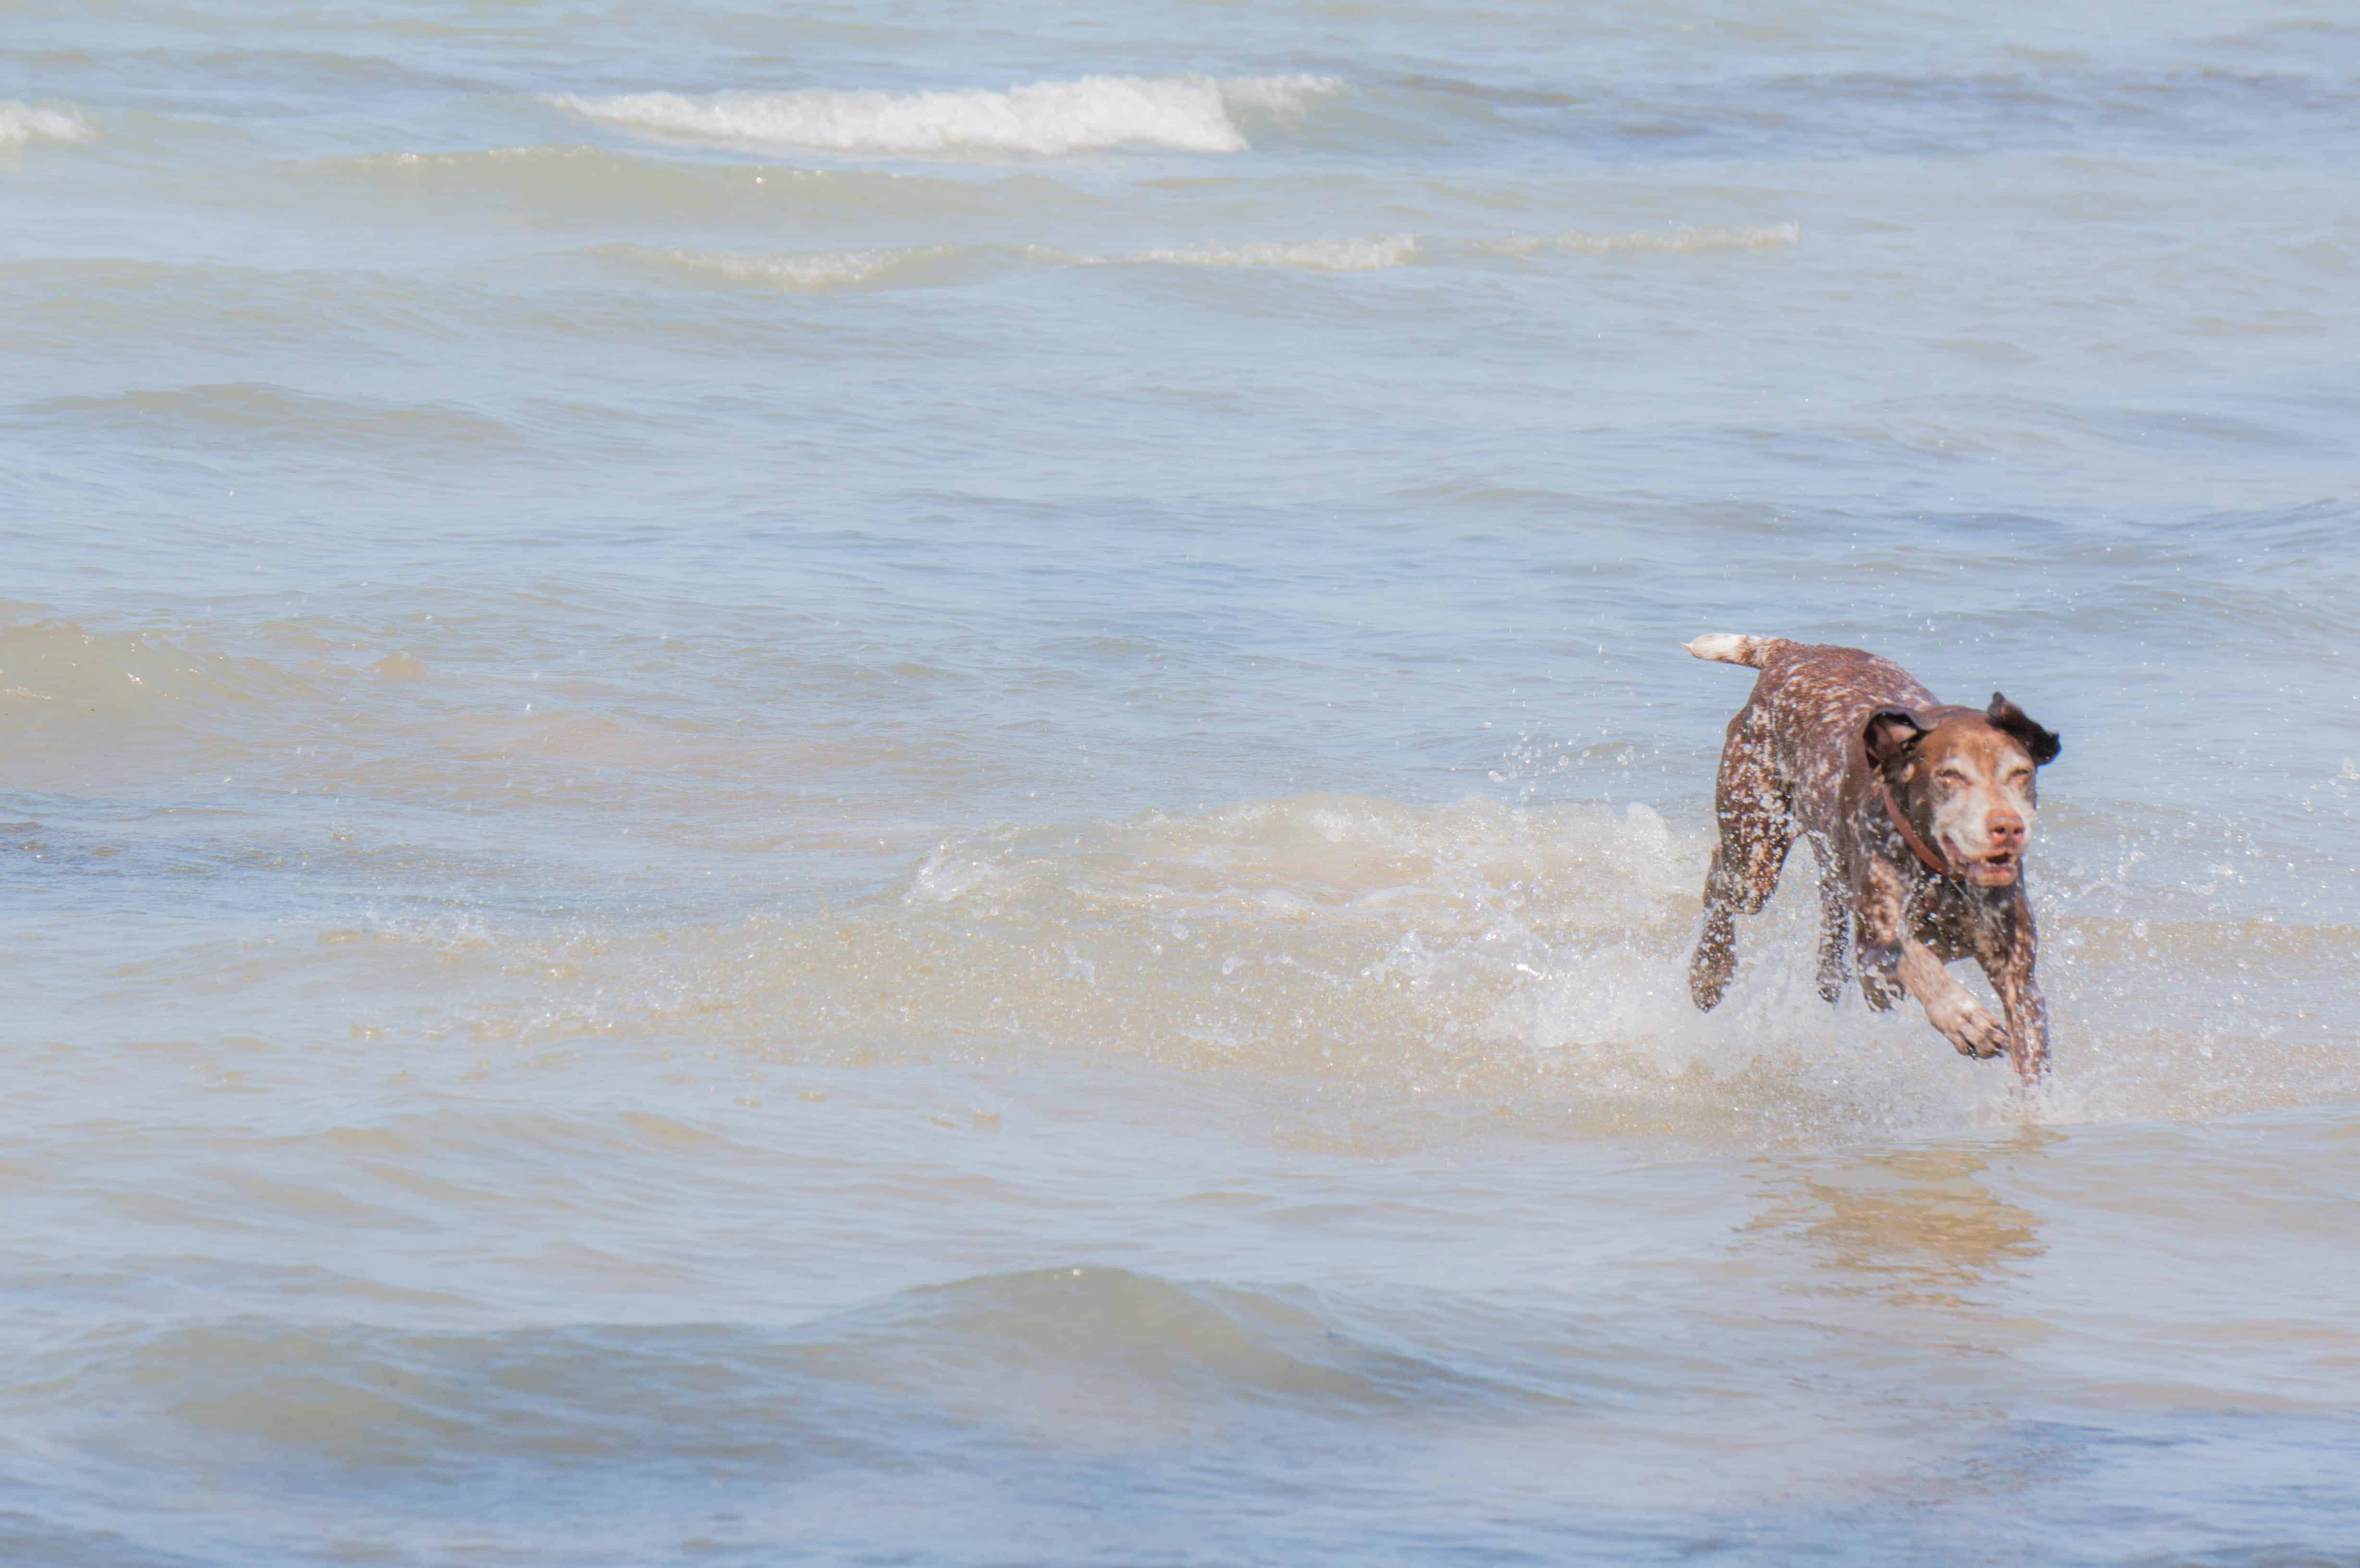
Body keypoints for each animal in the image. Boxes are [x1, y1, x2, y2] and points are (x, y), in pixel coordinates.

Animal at [1680, 633, 2067, 1077]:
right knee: (1719, 882)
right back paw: (1709, 972)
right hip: (1754, 856)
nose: (2007, 826)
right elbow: (1914, 958)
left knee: (1830, 932)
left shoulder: (2020, 980)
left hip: (1828, 866)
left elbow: (2033, 1065)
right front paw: (1963, 1017)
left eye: (2021, 774)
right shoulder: (1876, 960)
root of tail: (1791, 650)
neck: (1940, 874)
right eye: (1949, 776)